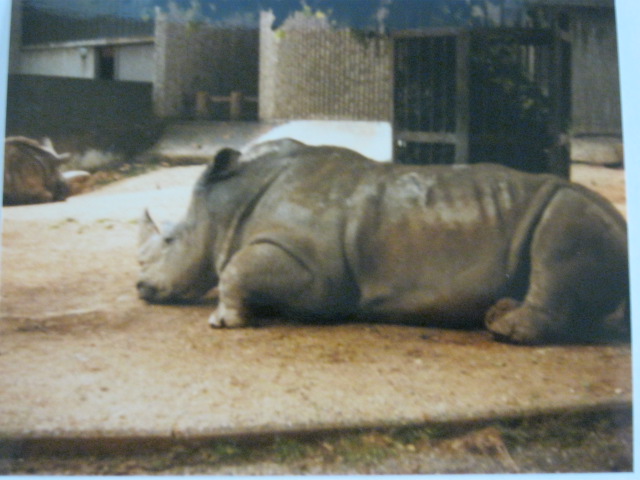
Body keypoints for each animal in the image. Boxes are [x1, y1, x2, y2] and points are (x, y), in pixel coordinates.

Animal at [137, 139, 629, 344]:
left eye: (170, 239)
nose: (140, 289)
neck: (232, 200)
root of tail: (624, 227)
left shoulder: (314, 271)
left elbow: (235, 268)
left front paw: (224, 322)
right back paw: (498, 313)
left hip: (573, 210)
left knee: (559, 230)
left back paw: (503, 331)